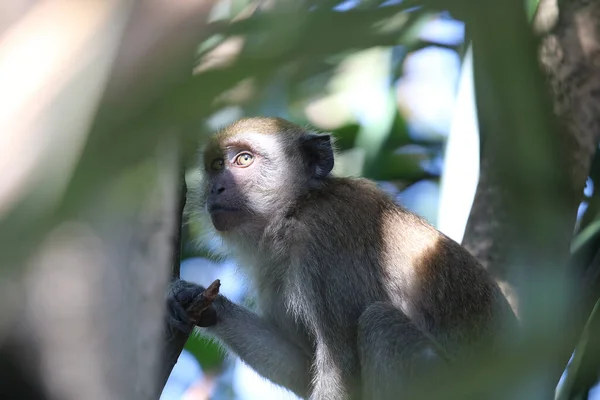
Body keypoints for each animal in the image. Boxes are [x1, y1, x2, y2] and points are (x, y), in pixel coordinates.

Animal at [166, 116, 516, 400]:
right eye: (215, 166)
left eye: (243, 159)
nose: (217, 189)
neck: (296, 207)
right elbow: (302, 368)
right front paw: (197, 300)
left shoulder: (323, 241)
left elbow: (340, 373)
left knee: (381, 322)